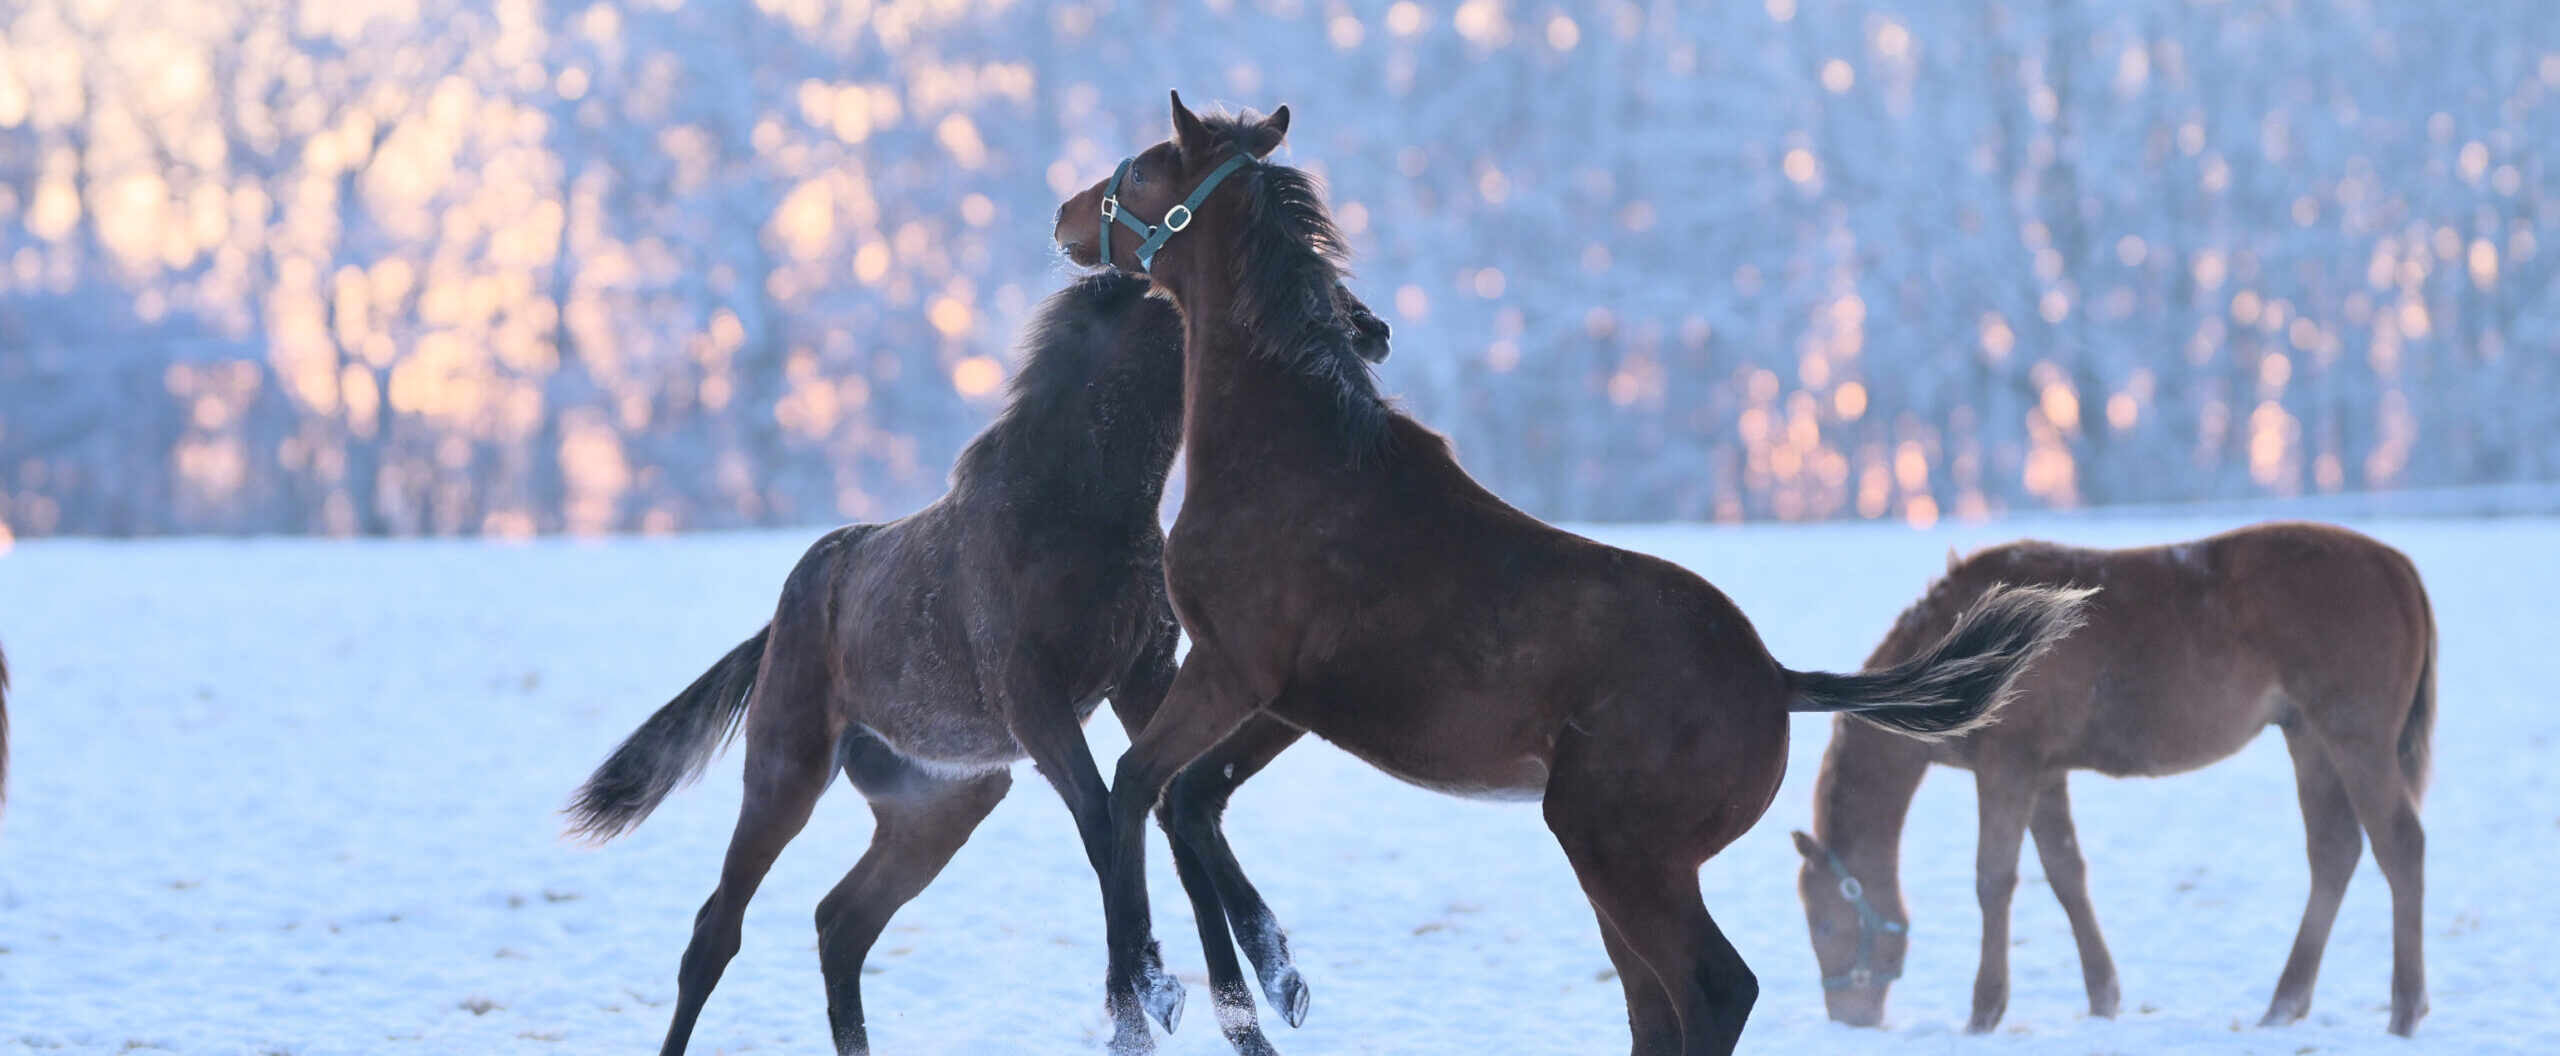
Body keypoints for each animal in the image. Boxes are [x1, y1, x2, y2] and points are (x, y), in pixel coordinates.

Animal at [570, 271, 1392, 1056]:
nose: (1372, 331)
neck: (1085, 505)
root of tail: (784, 615)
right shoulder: (1032, 696)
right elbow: (1107, 815)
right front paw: (1151, 999)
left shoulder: (1144, 673)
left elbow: (1166, 806)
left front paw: (1269, 987)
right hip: (787, 771)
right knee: (717, 933)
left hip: (946, 803)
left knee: (842, 922)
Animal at [1049, 90, 2088, 1056]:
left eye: (1148, 168)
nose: (1064, 215)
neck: (1290, 454)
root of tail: (1775, 679)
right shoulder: (1287, 704)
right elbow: (1189, 804)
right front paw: (1266, 985)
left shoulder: (1231, 670)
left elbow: (1133, 790)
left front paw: (1151, 994)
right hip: (1616, 859)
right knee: (1657, 1006)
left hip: (1617, 850)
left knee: (1713, 990)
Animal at [1792, 522, 2426, 1035]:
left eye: (1821, 925)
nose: (1849, 1021)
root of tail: (2395, 565)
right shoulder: (2045, 775)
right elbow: (2066, 873)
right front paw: (2103, 998)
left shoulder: (2008, 768)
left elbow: (1993, 880)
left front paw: (1983, 1012)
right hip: (2308, 740)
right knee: (2334, 852)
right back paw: (2283, 1006)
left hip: (2355, 741)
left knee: (2400, 847)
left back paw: (2404, 1010)